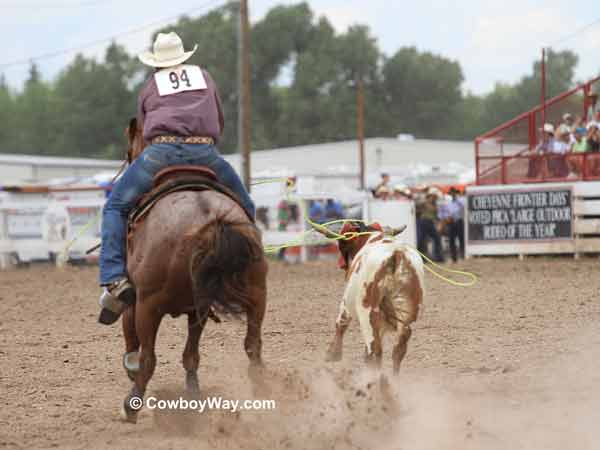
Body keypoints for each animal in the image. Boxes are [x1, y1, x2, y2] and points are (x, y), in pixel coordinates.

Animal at [119, 119, 268, 422]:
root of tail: (210, 220)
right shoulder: (197, 308)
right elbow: (191, 354)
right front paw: (193, 395)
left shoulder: (136, 297)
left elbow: (132, 336)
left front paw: (130, 370)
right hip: (258, 293)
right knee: (253, 346)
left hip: (148, 305)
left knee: (149, 358)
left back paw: (132, 404)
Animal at [322, 222, 424, 372]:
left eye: (342, 243)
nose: (342, 265)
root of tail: (396, 254)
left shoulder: (347, 302)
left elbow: (341, 322)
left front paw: (333, 354)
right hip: (406, 312)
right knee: (398, 348)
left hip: (367, 312)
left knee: (374, 350)